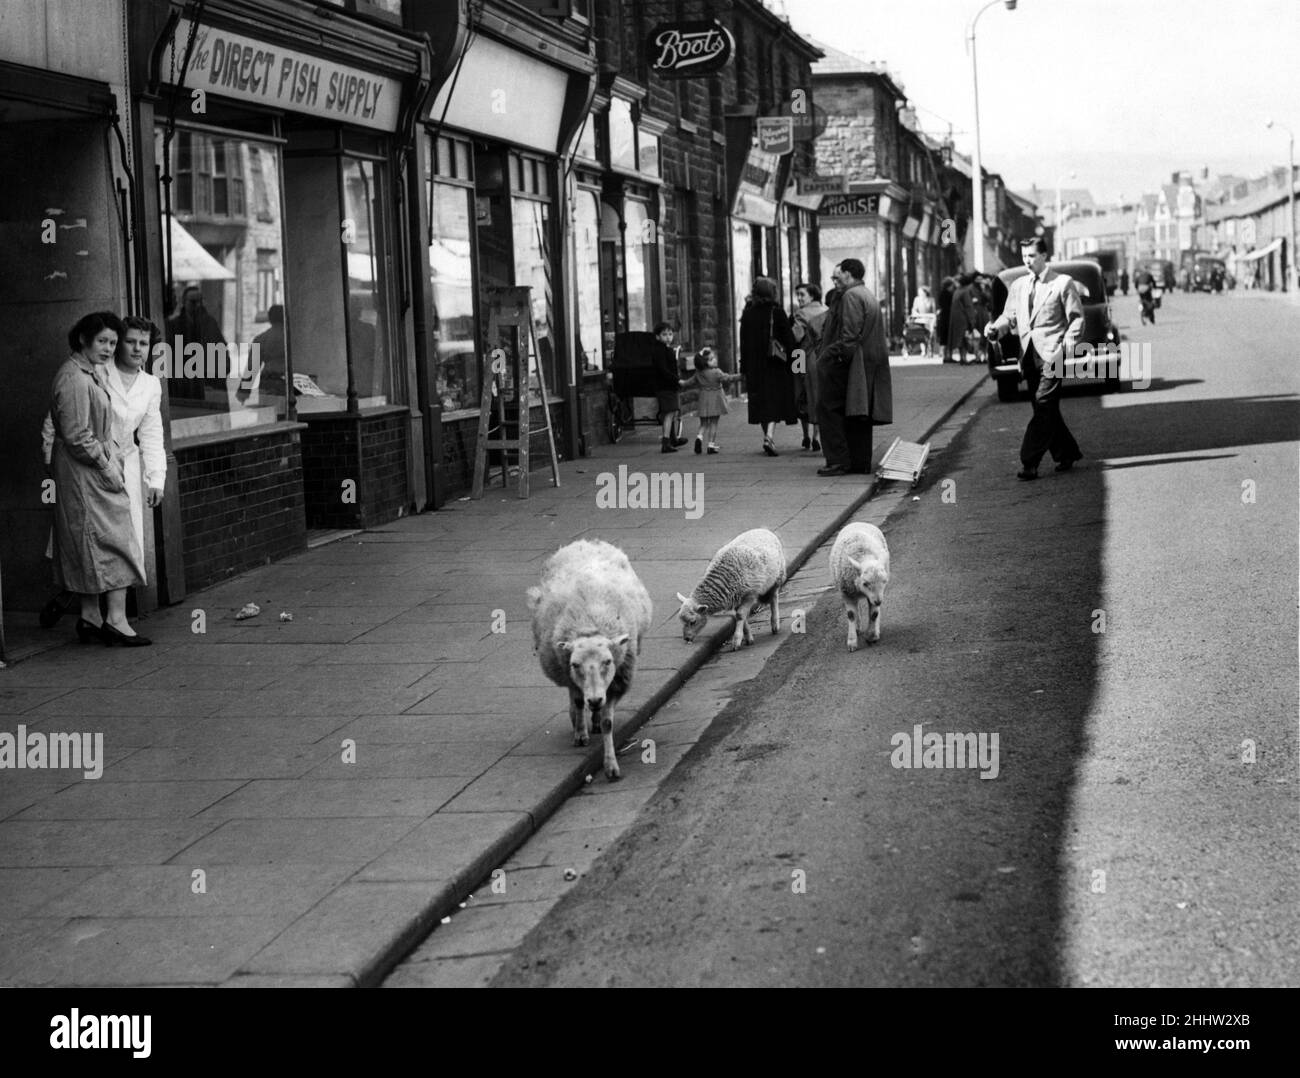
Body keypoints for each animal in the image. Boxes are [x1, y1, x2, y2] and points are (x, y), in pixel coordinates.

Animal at [525, 538, 650, 780]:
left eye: (608, 662)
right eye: (575, 664)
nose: (595, 699)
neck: (590, 625)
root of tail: (585, 542)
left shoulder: (616, 682)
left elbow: (608, 722)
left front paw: (611, 765)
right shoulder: (569, 674)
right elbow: (577, 700)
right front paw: (580, 733)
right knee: (577, 699)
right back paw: (579, 718)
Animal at [826, 520, 889, 652]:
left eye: (884, 581)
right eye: (865, 583)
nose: (878, 602)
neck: (863, 555)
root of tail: (858, 522)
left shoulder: (874, 597)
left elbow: (874, 614)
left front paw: (871, 636)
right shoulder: (847, 593)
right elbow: (851, 615)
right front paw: (852, 641)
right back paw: (857, 627)